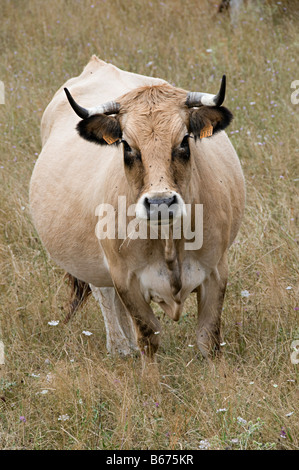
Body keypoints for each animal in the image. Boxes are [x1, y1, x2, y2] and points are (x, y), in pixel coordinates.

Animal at [29, 54, 247, 364]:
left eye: (184, 140)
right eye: (127, 146)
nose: (160, 203)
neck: (169, 241)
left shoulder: (217, 271)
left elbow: (209, 340)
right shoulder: (127, 279)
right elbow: (148, 337)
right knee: (105, 295)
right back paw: (120, 347)